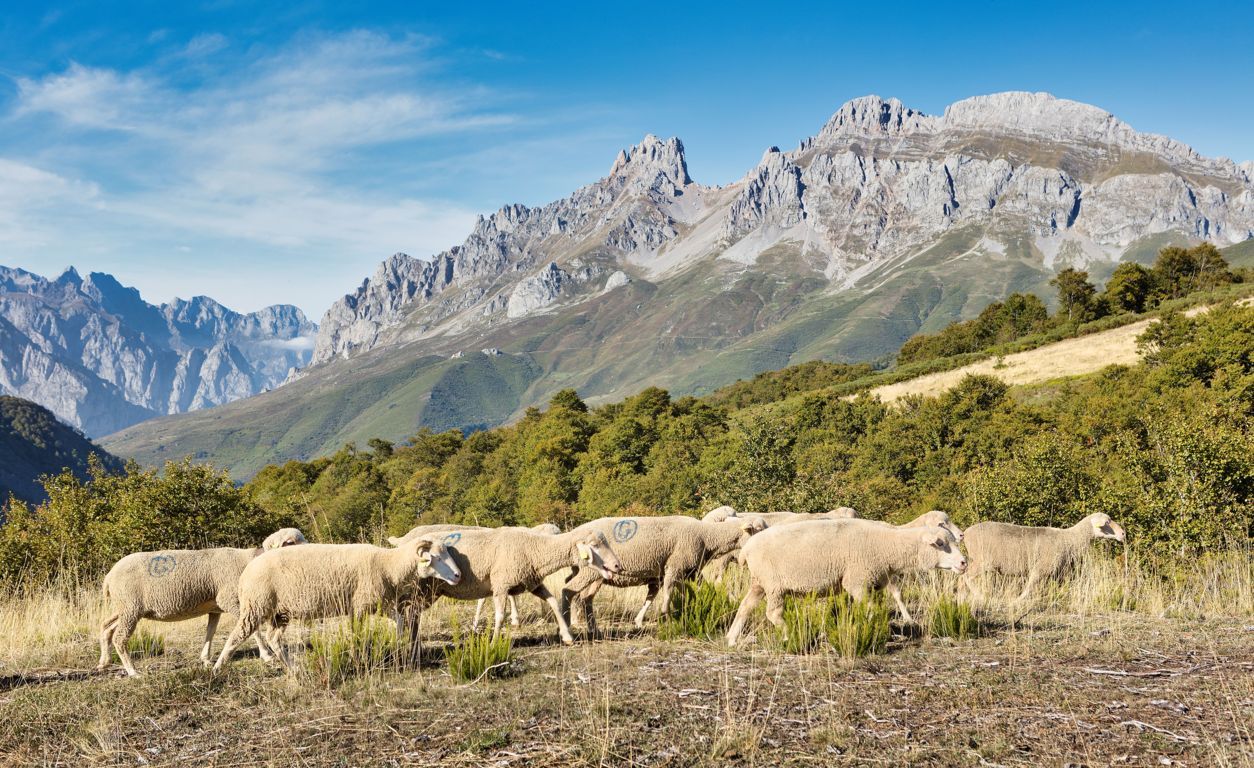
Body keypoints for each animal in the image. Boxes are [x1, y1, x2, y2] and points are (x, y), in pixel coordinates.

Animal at [95, 527, 305, 677]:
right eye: (289, 542)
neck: (250, 561)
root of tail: (109, 575)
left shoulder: (216, 607)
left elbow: (210, 632)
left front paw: (205, 659)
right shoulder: (230, 600)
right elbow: (253, 630)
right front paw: (267, 656)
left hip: (125, 608)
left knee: (106, 626)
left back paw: (103, 662)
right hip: (131, 608)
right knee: (119, 637)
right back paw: (133, 672)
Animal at [213, 534, 463, 672]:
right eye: (436, 558)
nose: (458, 575)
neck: (387, 565)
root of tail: (246, 572)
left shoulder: (376, 603)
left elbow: (400, 620)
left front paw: (400, 641)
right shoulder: (361, 605)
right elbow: (358, 634)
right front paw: (358, 657)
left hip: (279, 612)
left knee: (274, 638)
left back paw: (293, 669)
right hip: (256, 605)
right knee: (236, 636)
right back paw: (217, 668)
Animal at [381, 524, 616, 642]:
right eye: (595, 545)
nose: (616, 565)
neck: (534, 549)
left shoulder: (531, 583)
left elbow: (553, 603)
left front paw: (567, 636)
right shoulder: (501, 584)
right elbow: (500, 616)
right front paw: (494, 641)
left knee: (412, 612)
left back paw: (411, 639)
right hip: (422, 588)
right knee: (408, 611)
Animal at [722, 519, 963, 642]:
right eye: (940, 543)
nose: (964, 563)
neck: (887, 546)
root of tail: (747, 549)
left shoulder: (872, 582)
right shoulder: (856, 581)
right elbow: (870, 610)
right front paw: (870, 631)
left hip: (760, 582)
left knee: (745, 607)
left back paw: (732, 638)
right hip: (774, 584)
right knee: (772, 613)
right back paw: (789, 634)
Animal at [958, 512, 1128, 602]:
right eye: (1107, 522)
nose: (1123, 533)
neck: (1070, 539)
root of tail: (965, 533)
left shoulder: (1058, 571)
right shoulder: (1041, 567)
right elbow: (1030, 586)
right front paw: (1018, 600)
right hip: (981, 561)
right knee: (967, 576)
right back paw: (980, 596)